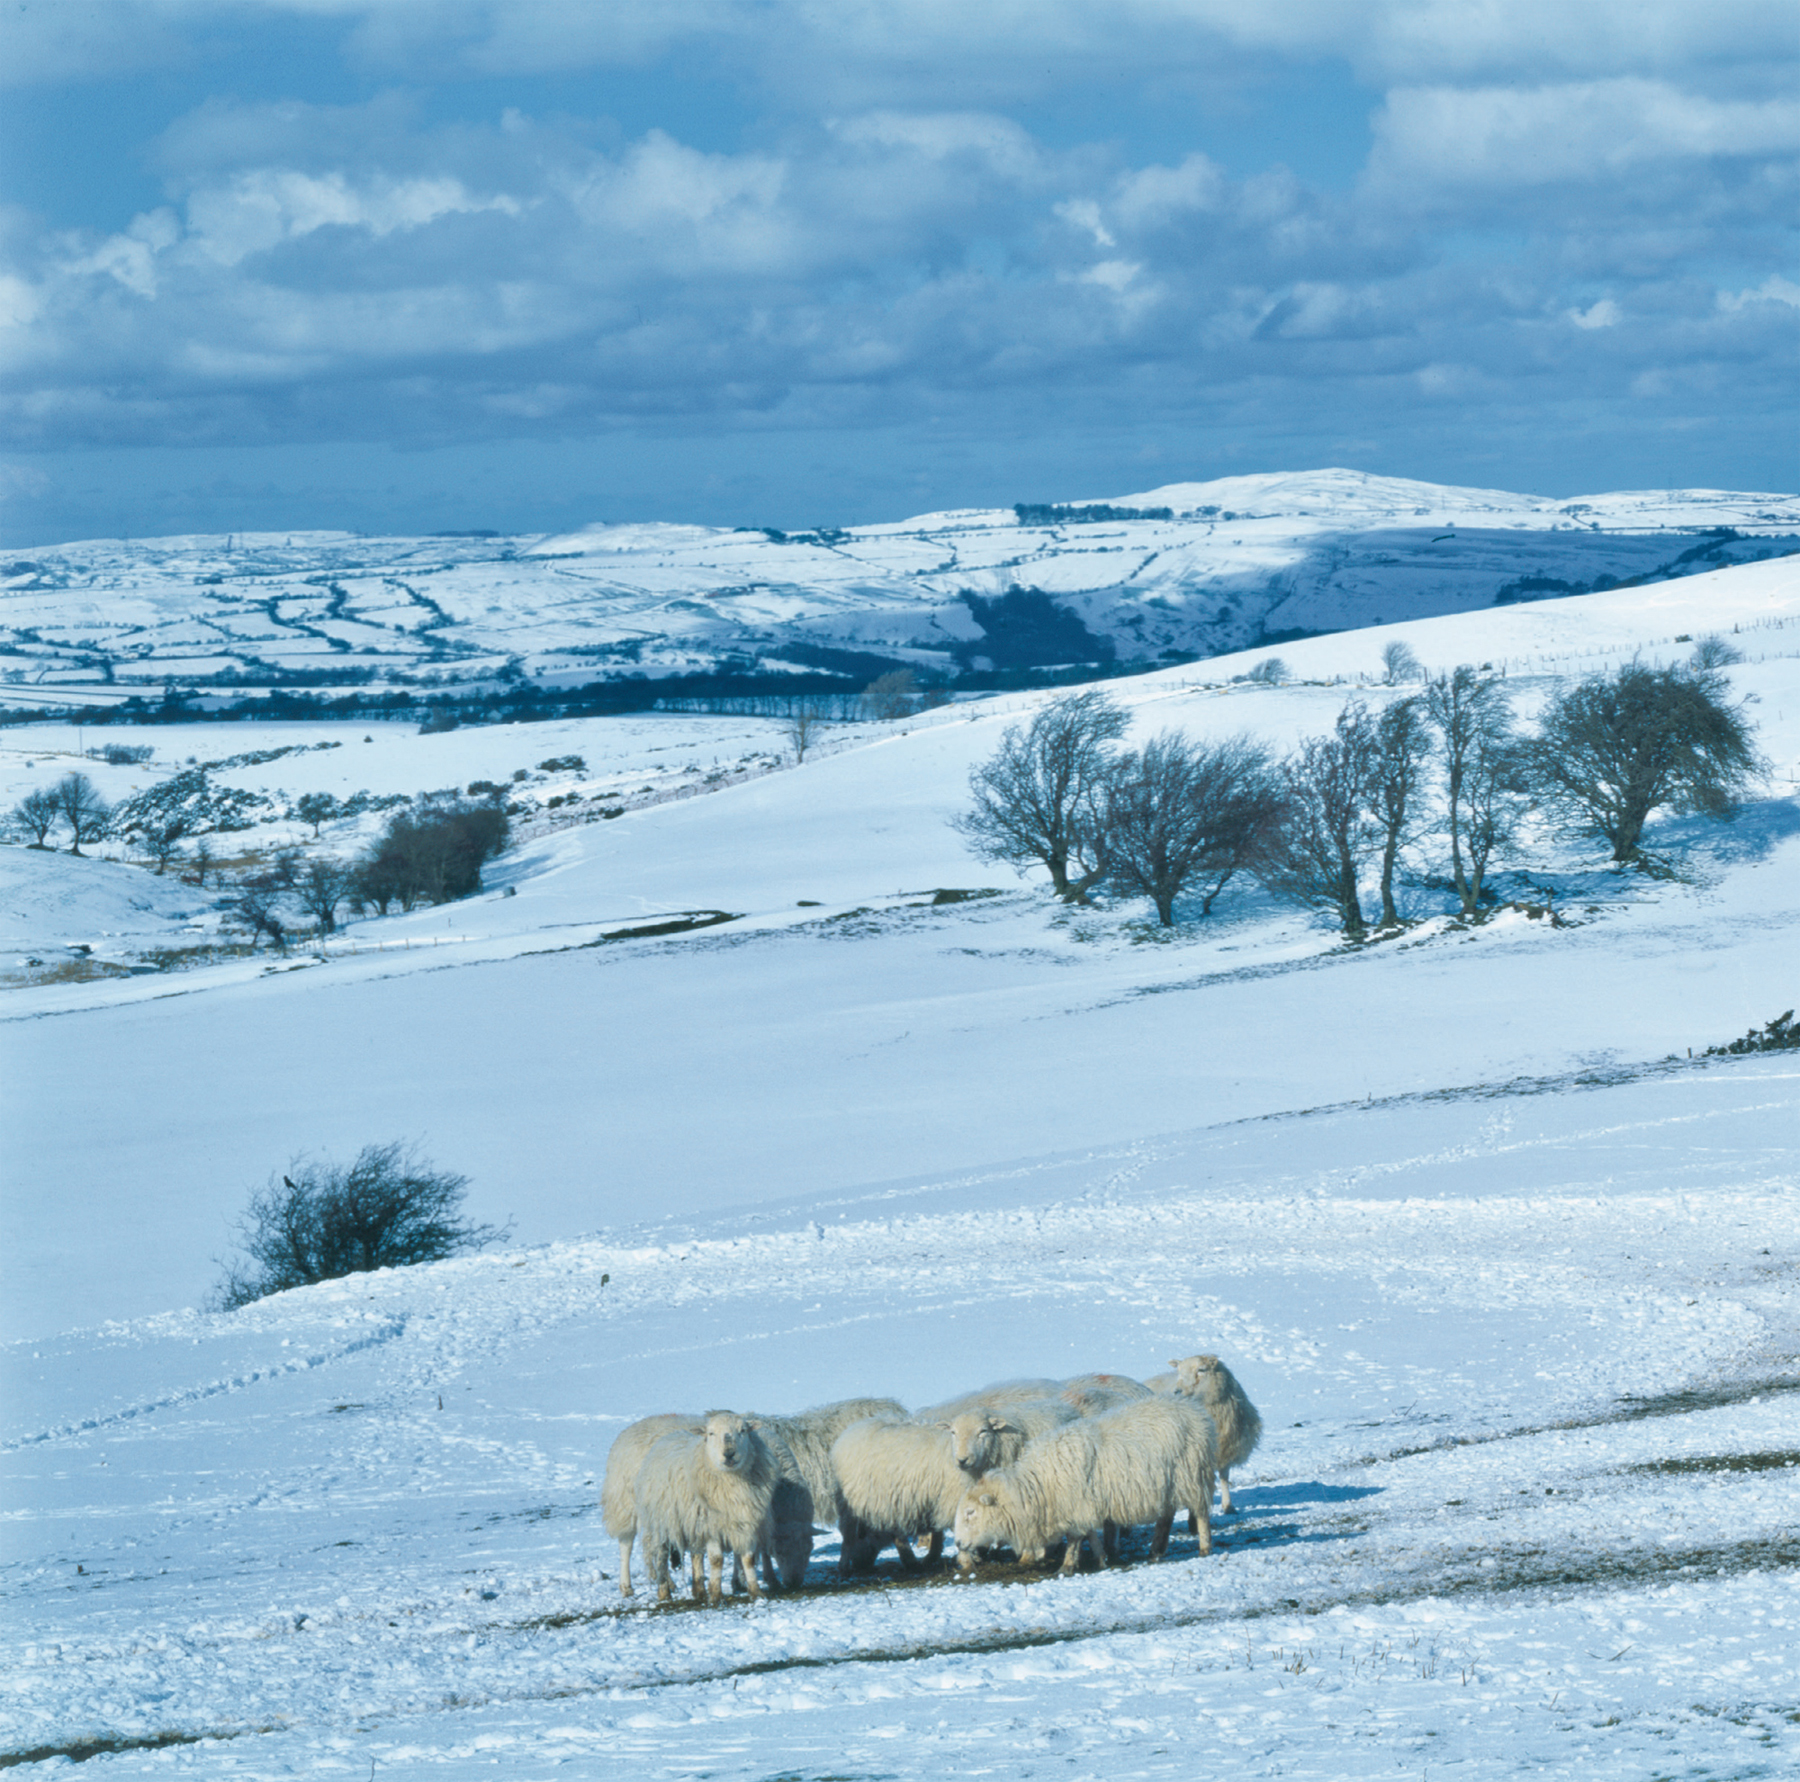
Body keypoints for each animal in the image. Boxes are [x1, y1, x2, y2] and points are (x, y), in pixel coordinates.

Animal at [637, 1418, 777, 1612]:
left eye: (743, 1430)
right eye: (711, 1434)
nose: (729, 1454)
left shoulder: (747, 1523)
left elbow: (748, 1559)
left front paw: (756, 1593)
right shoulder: (711, 1526)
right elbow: (717, 1560)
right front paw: (716, 1597)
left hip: (694, 1524)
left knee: (696, 1555)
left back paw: (699, 1590)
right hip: (662, 1523)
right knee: (661, 1556)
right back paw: (664, 1593)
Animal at [943, 1404, 1224, 1569]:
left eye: (970, 1513)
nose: (958, 1543)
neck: (1038, 1484)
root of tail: (1196, 1412)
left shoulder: (1076, 1503)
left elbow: (1076, 1537)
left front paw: (1067, 1566)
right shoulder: (1084, 1504)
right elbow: (1089, 1534)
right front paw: (1101, 1559)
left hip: (1192, 1476)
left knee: (1201, 1512)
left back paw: (1204, 1548)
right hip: (1167, 1484)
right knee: (1166, 1516)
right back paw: (1155, 1551)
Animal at [1166, 1360, 1267, 1512]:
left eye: (1202, 1370)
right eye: (1179, 1371)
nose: (1177, 1391)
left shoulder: (1225, 1451)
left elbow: (1224, 1478)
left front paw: (1228, 1505)